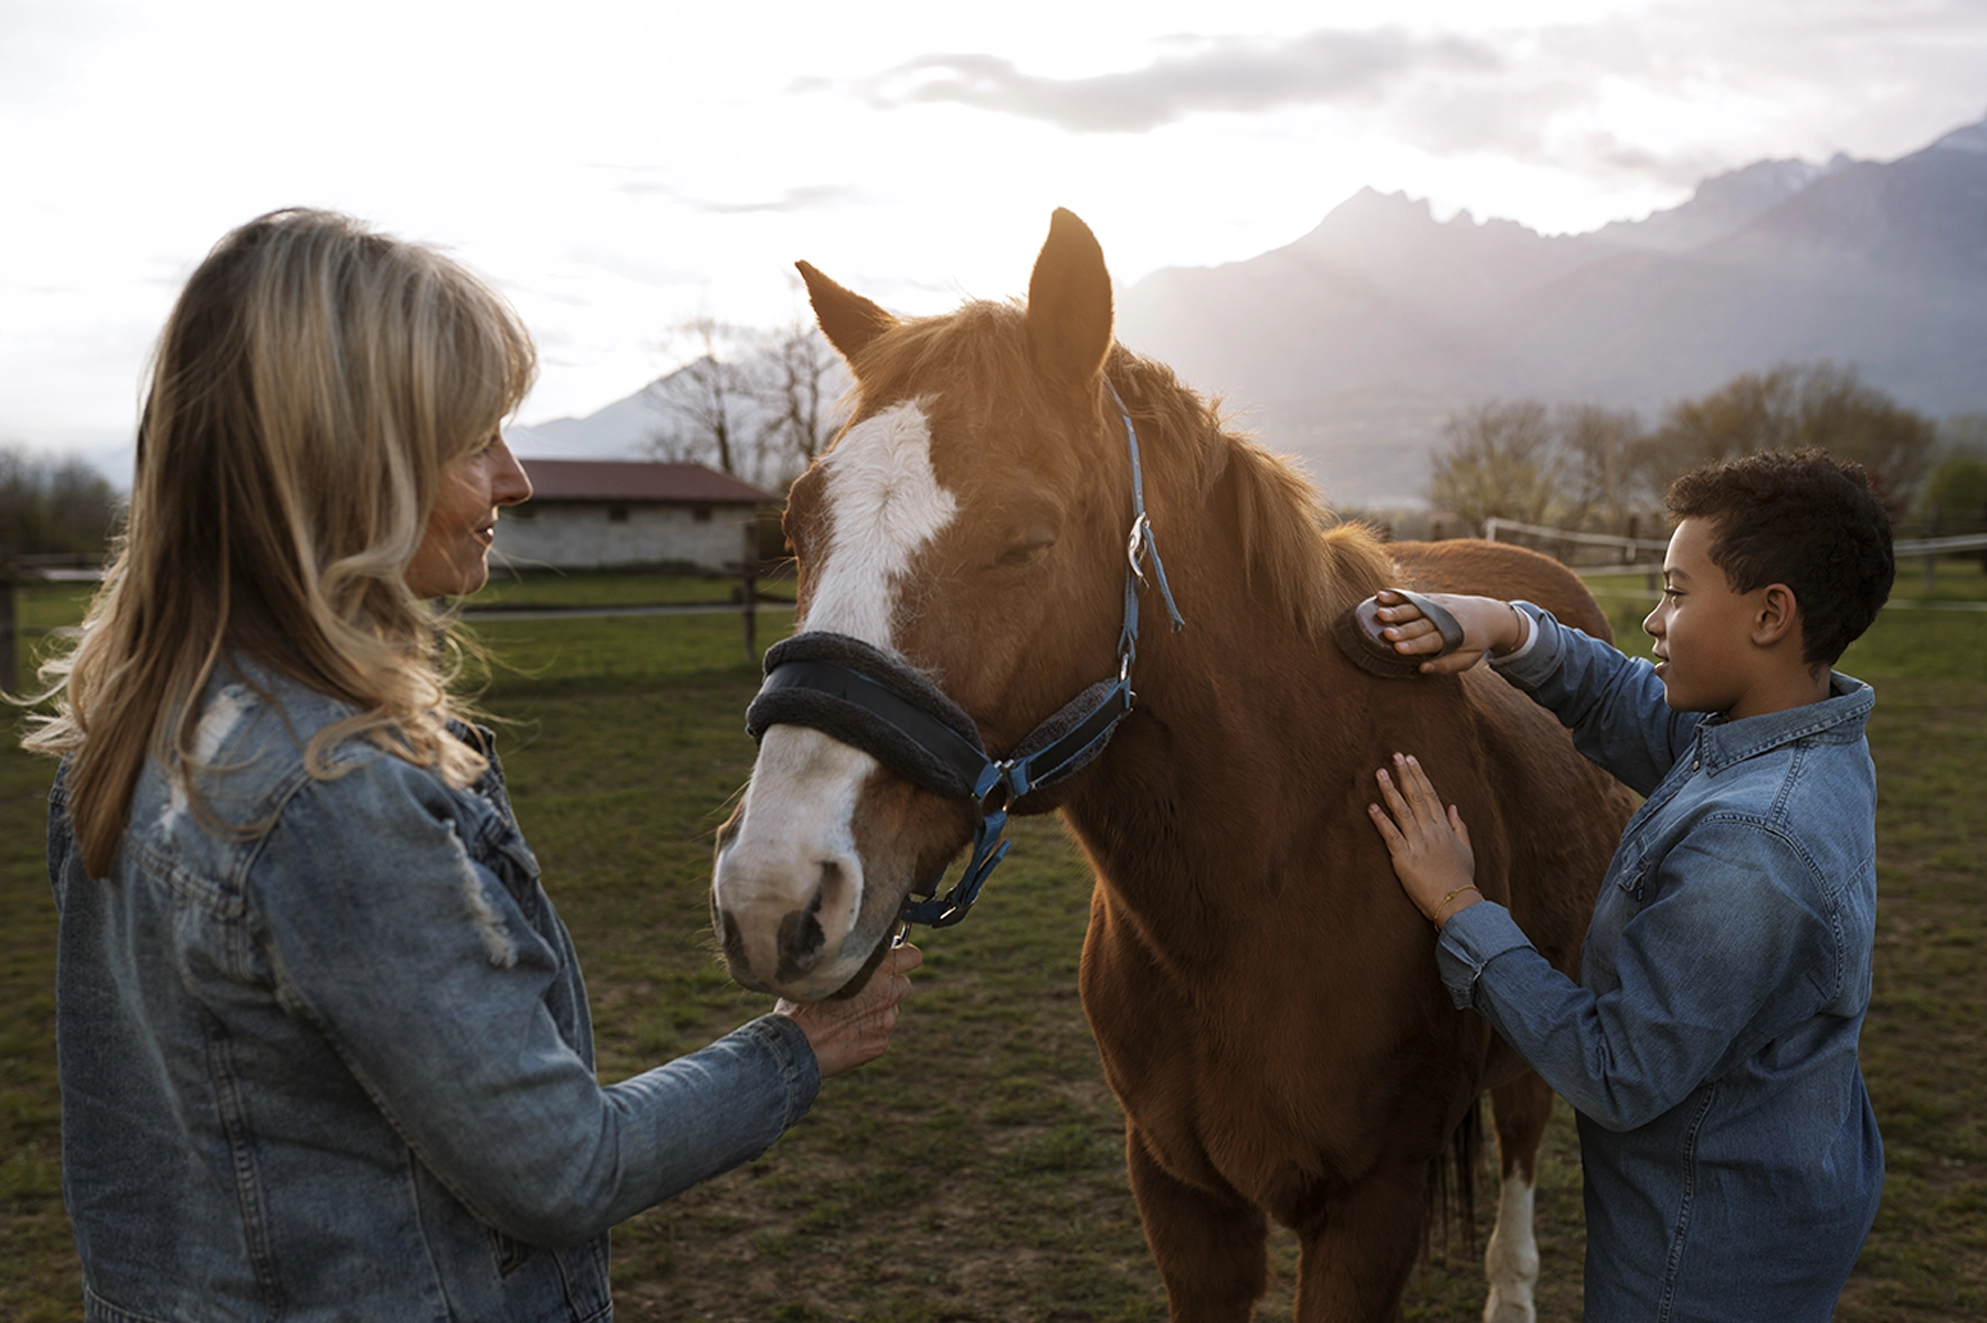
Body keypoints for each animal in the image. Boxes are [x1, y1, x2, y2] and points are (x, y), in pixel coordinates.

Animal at [707, 211, 1637, 1311]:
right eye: (796, 524)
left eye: (1027, 541)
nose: (771, 895)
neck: (1263, 885)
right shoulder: (1180, 1195)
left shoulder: (1371, 1209)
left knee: (1523, 1142)